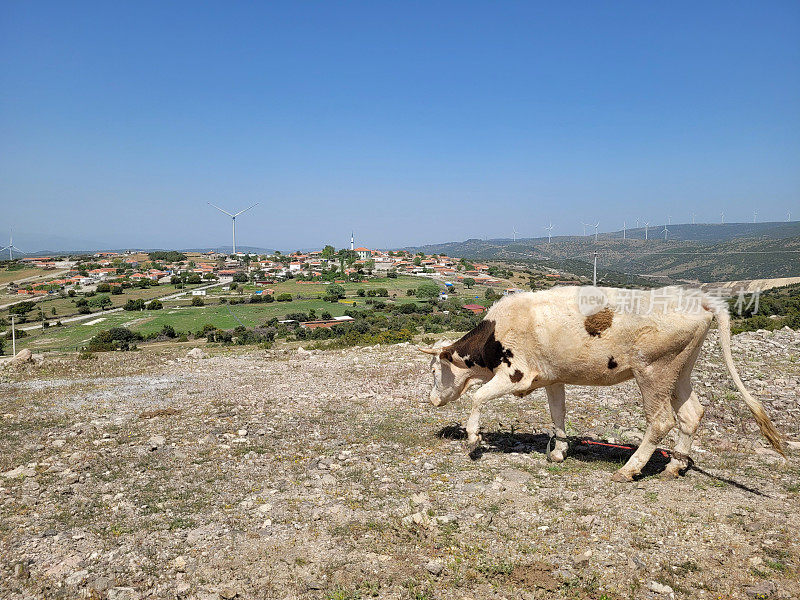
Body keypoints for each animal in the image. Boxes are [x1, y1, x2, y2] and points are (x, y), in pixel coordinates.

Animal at [422, 288, 784, 482]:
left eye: (434, 369)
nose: (432, 399)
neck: (495, 333)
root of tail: (697, 299)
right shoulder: (552, 377)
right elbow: (557, 415)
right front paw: (558, 452)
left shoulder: (516, 373)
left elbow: (478, 397)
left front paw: (473, 437)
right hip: (679, 370)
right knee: (691, 415)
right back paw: (674, 466)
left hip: (653, 370)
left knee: (661, 421)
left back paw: (629, 469)